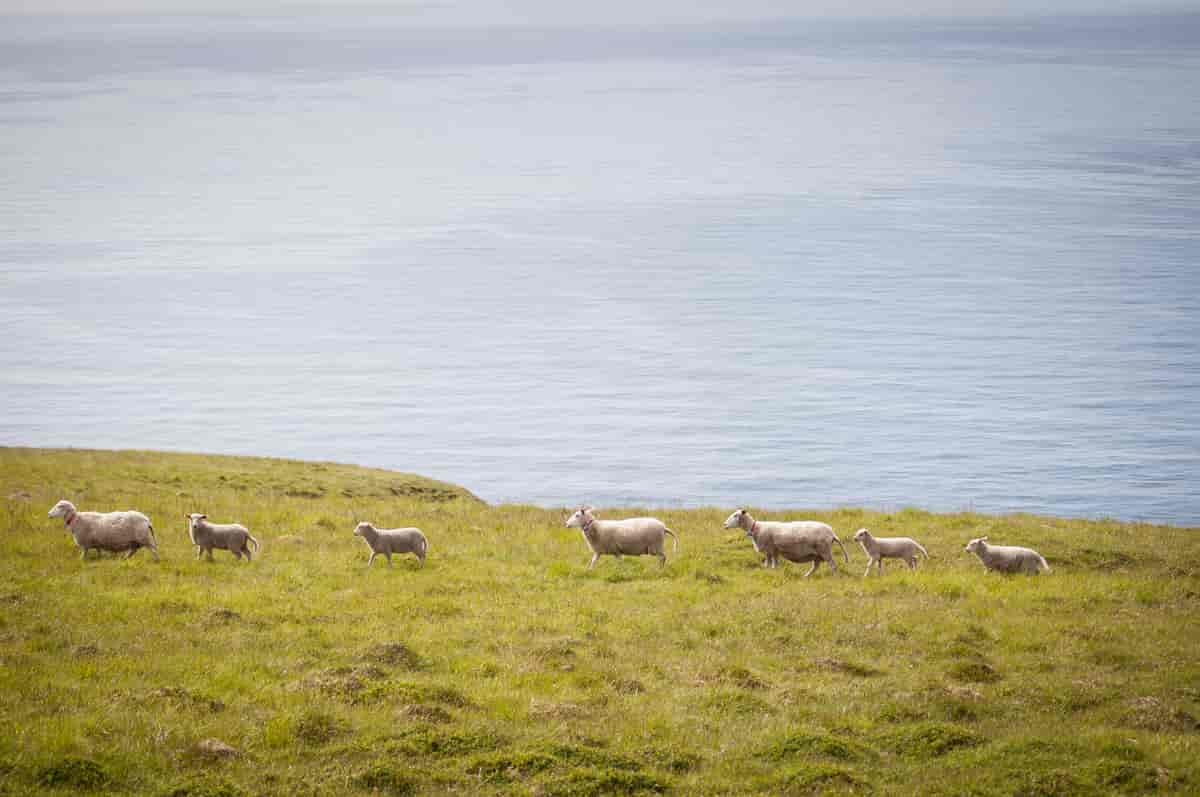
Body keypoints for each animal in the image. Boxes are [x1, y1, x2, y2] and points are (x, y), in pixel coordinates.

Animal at [715, 506, 849, 576]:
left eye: (736, 515)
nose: (724, 524)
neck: (755, 528)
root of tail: (832, 533)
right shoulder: (772, 552)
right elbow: (770, 564)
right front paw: (769, 571)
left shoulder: (771, 550)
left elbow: (772, 564)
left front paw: (773, 571)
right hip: (817, 553)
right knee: (815, 567)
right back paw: (805, 576)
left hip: (824, 550)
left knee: (833, 565)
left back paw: (834, 577)